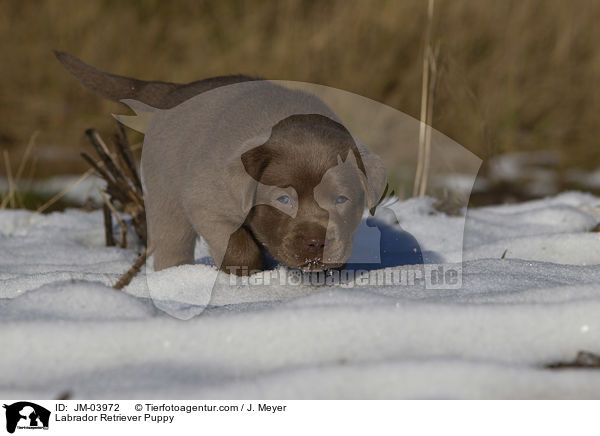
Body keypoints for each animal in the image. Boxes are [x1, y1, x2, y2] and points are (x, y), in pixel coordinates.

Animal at [54, 52, 386, 274]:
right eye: (283, 200)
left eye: (342, 199)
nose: (317, 242)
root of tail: (176, 91)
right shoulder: (206, 202)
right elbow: (238, 246)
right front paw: (246, 274)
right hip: (166, 194)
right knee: (172, 242)